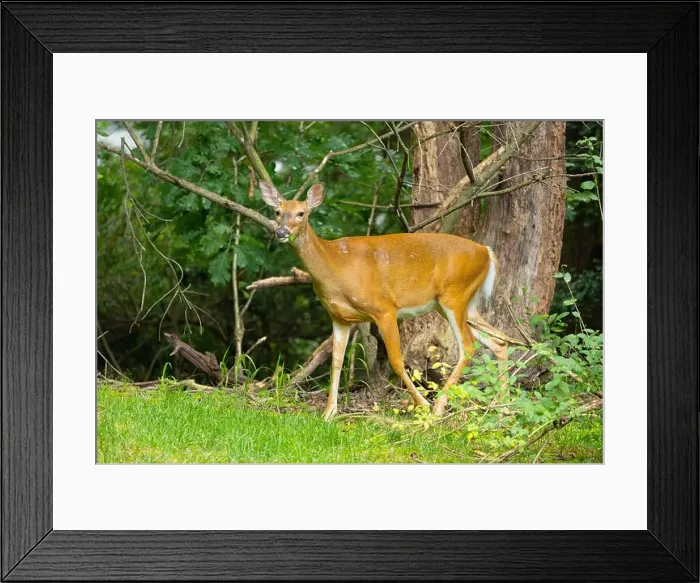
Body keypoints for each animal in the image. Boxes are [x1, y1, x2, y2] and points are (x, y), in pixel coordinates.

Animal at [259, 180, 508, 421]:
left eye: (301, 213)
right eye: (277, 212)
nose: (281, 232)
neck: (335, 266)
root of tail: (486, 251)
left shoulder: (384, 308)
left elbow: (396, 360)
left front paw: (423, 405)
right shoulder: (339, 317)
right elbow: (336, 362)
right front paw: (329, 413)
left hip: (454, 294)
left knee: (469, 345)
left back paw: (438, 407)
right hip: (458, 303)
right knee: (499, 341)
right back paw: (502, 404)